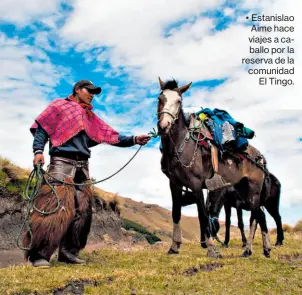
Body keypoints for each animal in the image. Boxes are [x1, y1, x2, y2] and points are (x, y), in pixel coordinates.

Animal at [158, 78, 272, 260]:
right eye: (160, 99)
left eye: (179, 101)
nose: (164, 125)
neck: (181, 145)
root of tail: (260, 157)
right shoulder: (174, 184)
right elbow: (176, 213)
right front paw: (174, 247)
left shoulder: (196, 185)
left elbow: (203, 216)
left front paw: (211, 249)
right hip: (242, 190)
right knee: (258, 216)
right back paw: (254, 249)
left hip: (254, 190)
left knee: (258, 216)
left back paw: (258, 248)